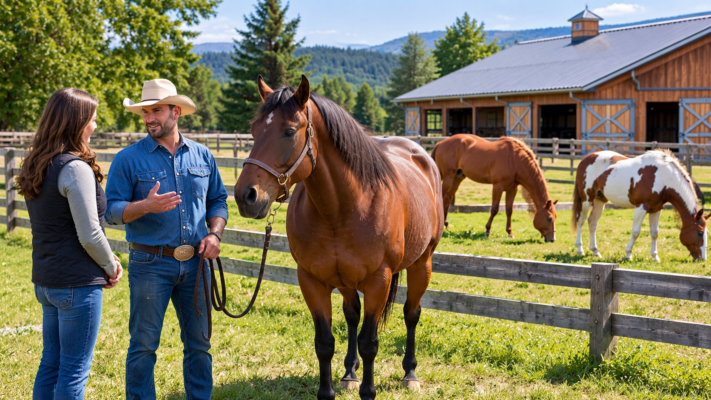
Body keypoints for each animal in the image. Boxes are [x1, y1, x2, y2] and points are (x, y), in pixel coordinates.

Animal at [234, 76, 444, 400]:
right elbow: (325, 343)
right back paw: (349, 373)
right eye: (254, 131)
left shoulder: (379, 281)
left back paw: (410, 373)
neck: (341, 209)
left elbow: (369, 343)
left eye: (289, 131)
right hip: (346, 281)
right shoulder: (311, 280)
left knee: (411, 314)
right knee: (352, 315)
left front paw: (369, 391)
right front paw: (331, 388)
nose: (246, 196)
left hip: (423, 263)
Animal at [572, 149, 709, 261]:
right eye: (700, 232)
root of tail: (586, 159)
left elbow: (654, 232)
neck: (662, 177)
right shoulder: (641, 207)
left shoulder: (656, 209)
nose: (702, 259)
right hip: (586, 199)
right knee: (581, 221)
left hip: (600, 200)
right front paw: (628, 254)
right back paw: (580, 250)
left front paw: (655, 256)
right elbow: (635, 232)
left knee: (592, 222)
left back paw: (595, 251)